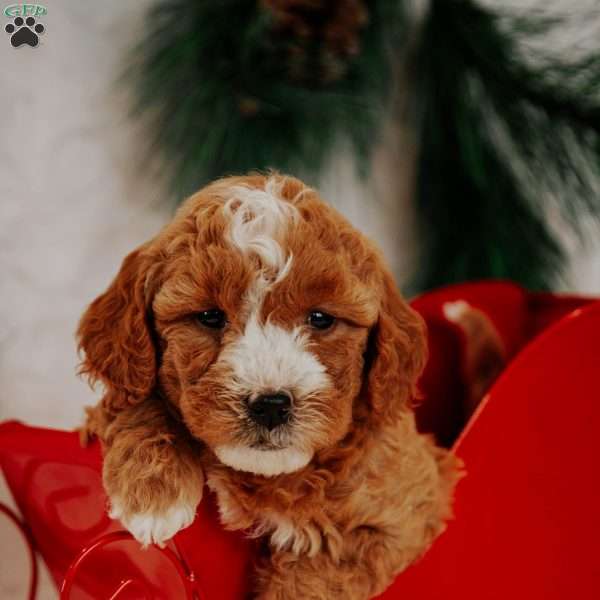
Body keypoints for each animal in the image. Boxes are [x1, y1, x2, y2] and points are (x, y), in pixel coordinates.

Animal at [78, 173, 460, 600]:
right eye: (209, 316)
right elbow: (136, 400)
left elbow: (316, 575)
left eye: (320, 319)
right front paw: (154, 496)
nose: (271, 405)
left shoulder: (404, 514)